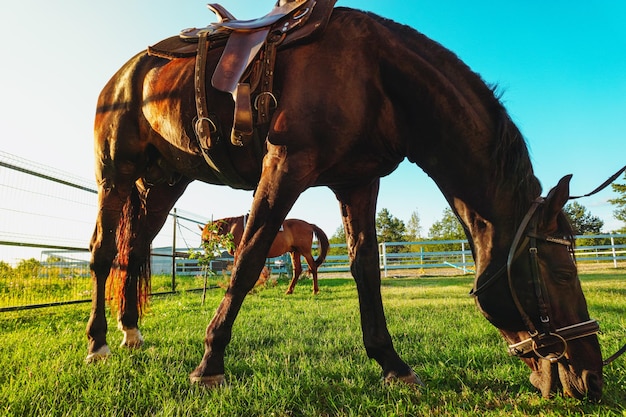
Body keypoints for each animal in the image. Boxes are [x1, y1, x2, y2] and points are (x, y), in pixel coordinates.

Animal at [201, 216, 330, 294]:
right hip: (295, 252)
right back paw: (289, 290)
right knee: (297, 270)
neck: (234, 229)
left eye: (206, 236)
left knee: (313, 267)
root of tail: (309, 225)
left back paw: (315, 290)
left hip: (305, 251)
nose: (204, 247)